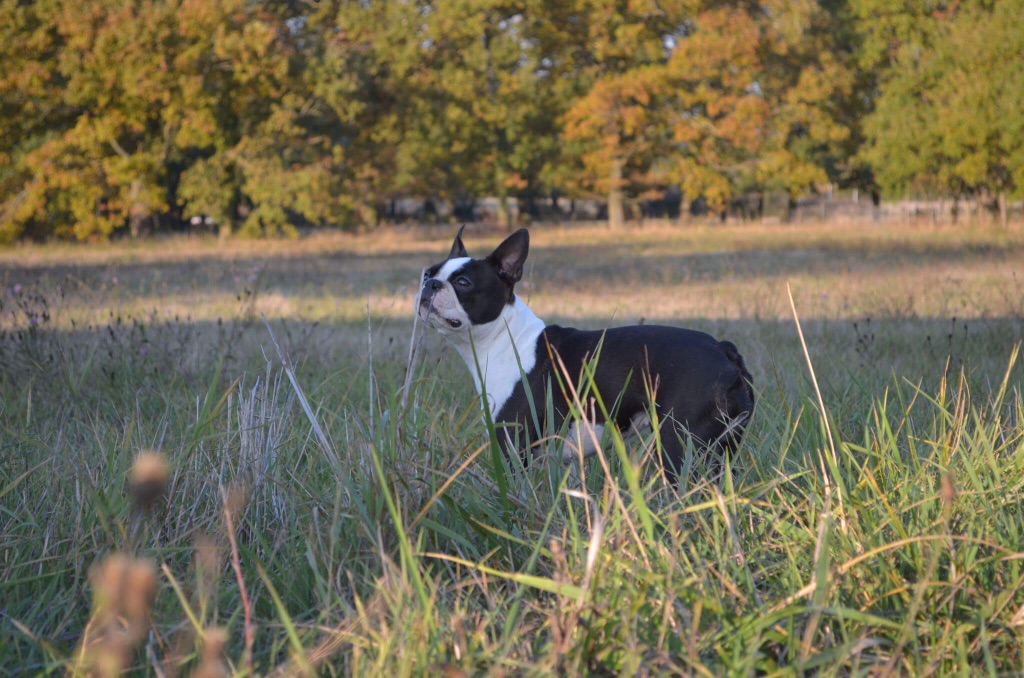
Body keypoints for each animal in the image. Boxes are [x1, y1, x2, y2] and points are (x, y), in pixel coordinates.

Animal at [415, 225, 753, 481]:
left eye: (463, 282)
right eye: (428, 273)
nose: (430, 284)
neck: (504, 338)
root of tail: (724, 350)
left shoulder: (514, 444)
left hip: (681, 444)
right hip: (720, 447)